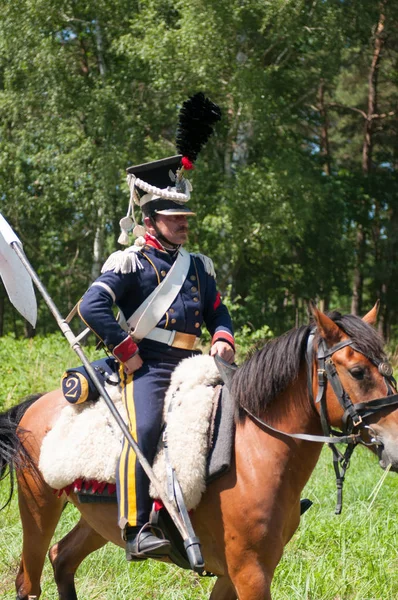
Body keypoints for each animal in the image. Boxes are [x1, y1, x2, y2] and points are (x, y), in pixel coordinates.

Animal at [2, 304, 398, 600]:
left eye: (388, 370)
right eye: (358, 371)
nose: (394, 444)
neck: (253, 454)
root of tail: (38, 404)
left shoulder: (234, 575)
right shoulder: (250, 573)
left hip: (99, 521)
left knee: (62, 558)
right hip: (38, 508)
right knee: (29, 581)